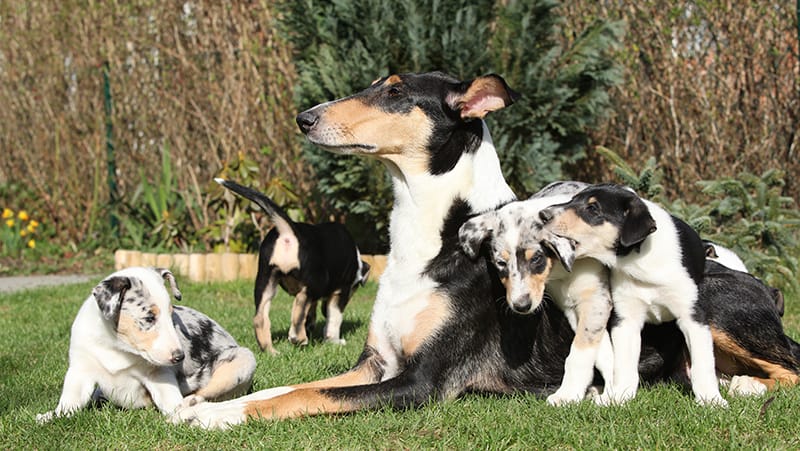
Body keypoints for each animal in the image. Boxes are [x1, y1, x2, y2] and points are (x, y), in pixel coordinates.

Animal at [36, 268, 256, 424]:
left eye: (171, 316)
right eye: (149, 318)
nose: (179, 357)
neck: (117, 348)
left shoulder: (159, 375)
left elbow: (170, 402)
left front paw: (181, 413)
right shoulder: (80, 371)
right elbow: (69, 403)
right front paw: (50, 416)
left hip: (243, 360)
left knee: (204, 393)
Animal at [456, 182, 612, 408]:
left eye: (537, 258)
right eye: (500, 263)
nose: (521, 306)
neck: (559, 270)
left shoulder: (594, 300)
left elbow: (581, 352)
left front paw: (571, 394)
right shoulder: (571, 307)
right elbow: (601, 351)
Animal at [540, 182, 728, 408]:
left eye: (593, 208)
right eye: (572, 199)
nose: (543, 215)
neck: (641, 261)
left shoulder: (693, 316)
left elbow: (703, 363)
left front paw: (711, 400)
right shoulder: (626, 319)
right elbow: (624, 365)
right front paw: (619, 397)